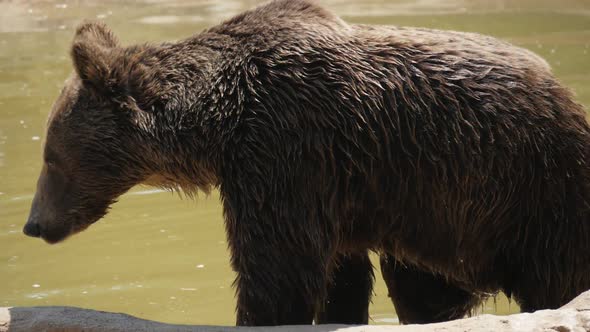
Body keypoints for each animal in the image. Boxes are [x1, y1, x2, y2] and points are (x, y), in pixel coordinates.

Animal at [22, 0, 590, 326]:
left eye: (51, 155)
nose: (33, 224)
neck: (216, 123)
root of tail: (566, 96)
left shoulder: (284, 150)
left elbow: (277, 271)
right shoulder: (335, 180)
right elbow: (338, 270)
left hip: (528, 189)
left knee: (554, 274)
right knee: (421, 285)